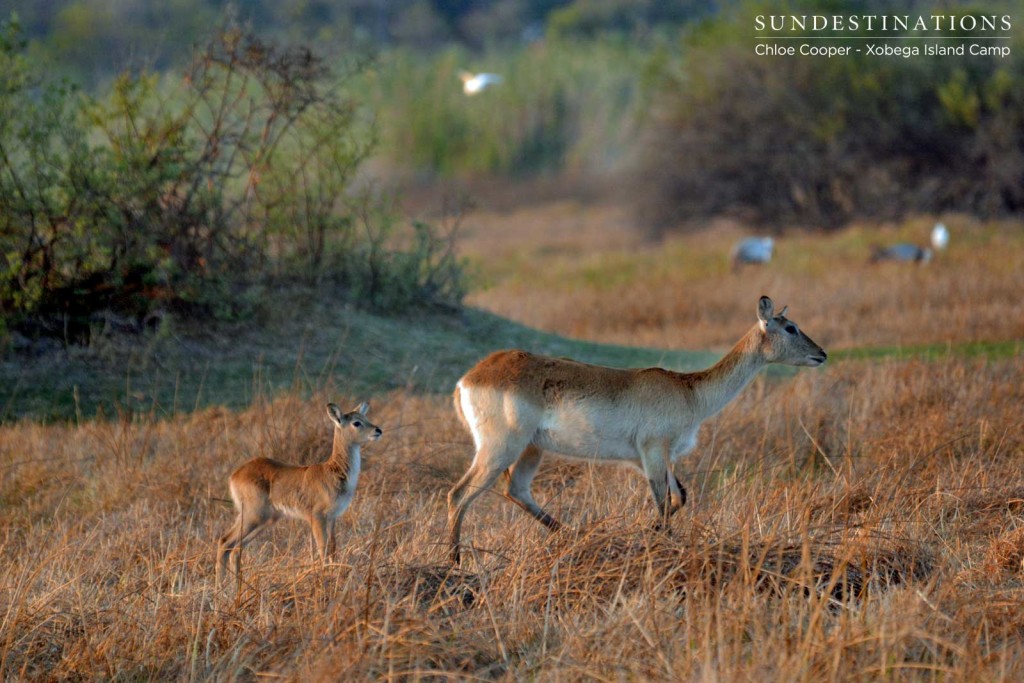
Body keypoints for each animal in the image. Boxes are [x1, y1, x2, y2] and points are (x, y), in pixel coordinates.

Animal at [216, 403, 380, 585]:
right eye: (356, 422)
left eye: (365, 417)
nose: (378, 430)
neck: (333, 471)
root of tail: (234, 475)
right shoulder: (317, 516)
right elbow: (323, 547)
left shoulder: (332, 517)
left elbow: (333, 547)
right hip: (254, 516)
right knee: (224, 541)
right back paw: (221, 589)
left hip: (266, 519)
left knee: (236, 548)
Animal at [446, 296, 823, 565]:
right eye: (790, 328)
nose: (822, 354)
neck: (689, 391)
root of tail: (470, 377)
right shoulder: (653, 452)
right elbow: (664, 501)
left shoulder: (656, 458)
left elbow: (679, 498)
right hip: (500, 449)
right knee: (459, 494)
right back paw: (454, 563)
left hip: (531, 449)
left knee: (517, 490)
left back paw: (573, 538)